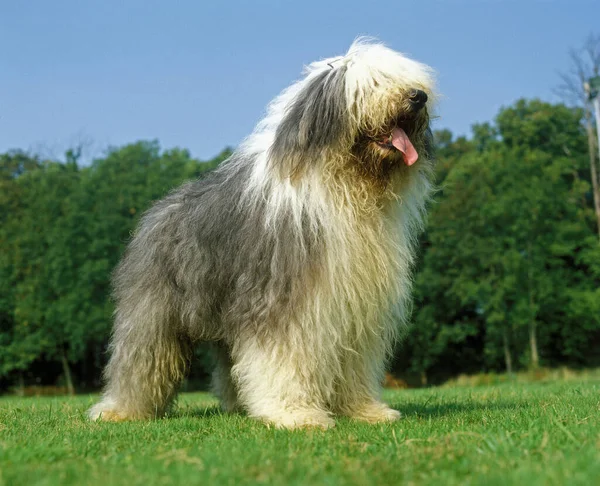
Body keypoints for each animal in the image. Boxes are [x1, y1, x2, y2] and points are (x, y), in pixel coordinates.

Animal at [89, 39, 436, 430]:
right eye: (374, 83)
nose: (418, 96)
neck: (344, 186)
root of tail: (156, 211)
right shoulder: (284, 300)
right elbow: (284, 359)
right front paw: (295, 414)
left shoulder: (355, 306)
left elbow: (353, 362)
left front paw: (365, 410)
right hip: (153, 310)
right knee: (140, 358)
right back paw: (119, 409)